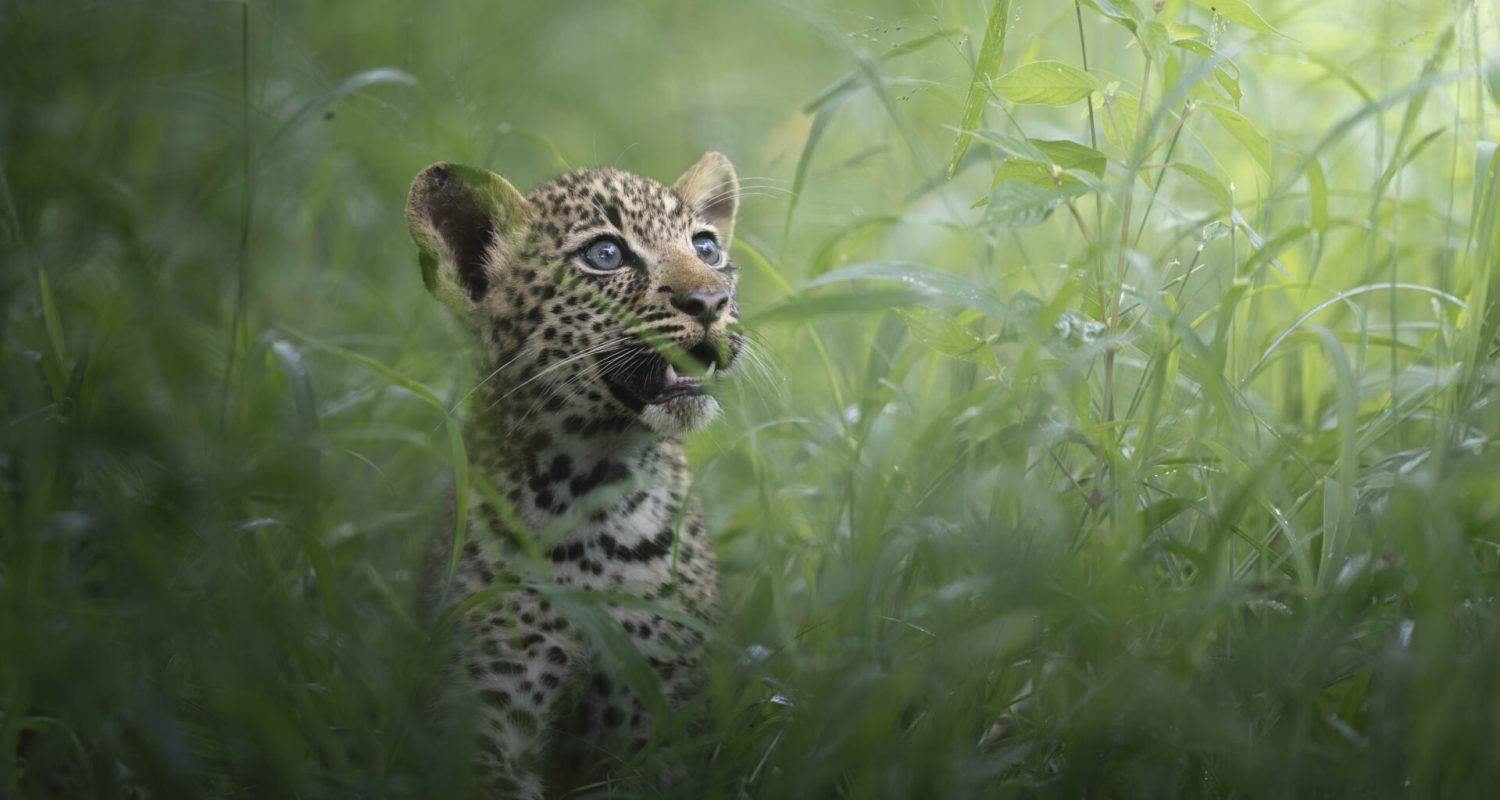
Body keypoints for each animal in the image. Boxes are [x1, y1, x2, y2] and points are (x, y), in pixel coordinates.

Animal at [404, 152, 743, 799]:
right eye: (605, 255)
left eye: (707, 247)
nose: (710, 302)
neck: (590, 483)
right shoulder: (488, 703)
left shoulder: (662, 711)